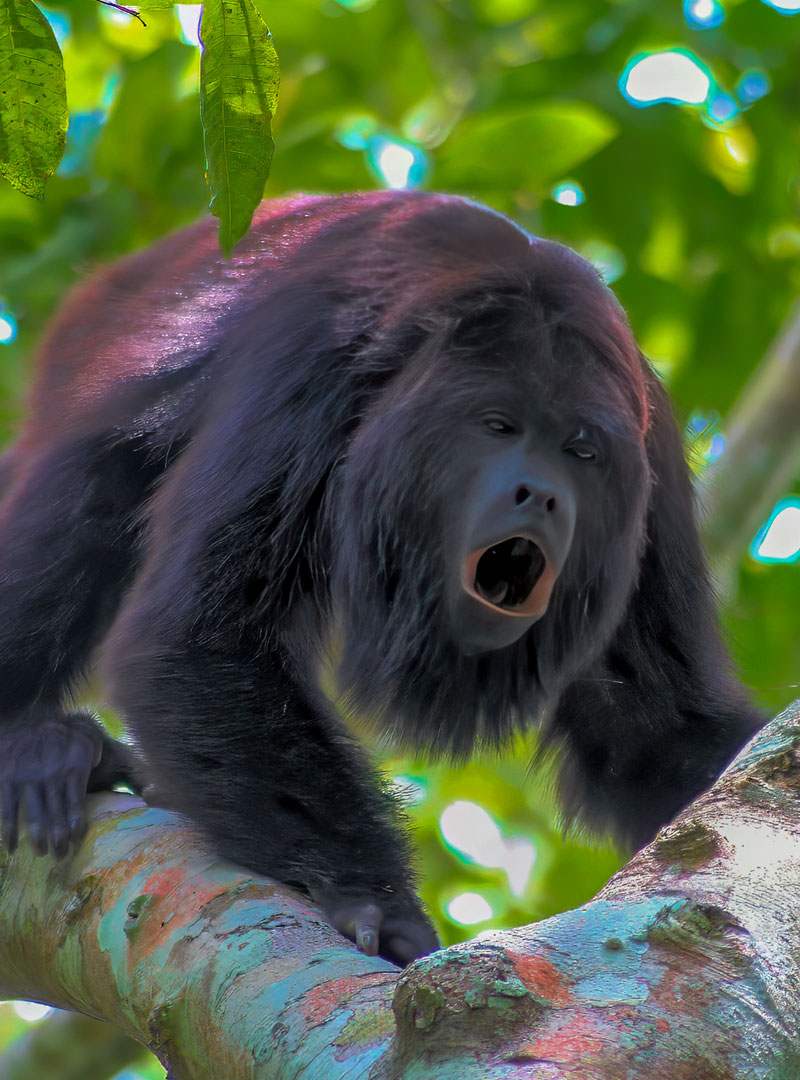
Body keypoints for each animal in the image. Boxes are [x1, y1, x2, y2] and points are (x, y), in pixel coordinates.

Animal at [0, 192, 760, 963]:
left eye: (581, 450)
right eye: (498, 425)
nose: (541, 495)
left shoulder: (651, 458)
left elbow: (651, 733)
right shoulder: (315, 365)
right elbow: (194, 633)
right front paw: (375, 898)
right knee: (89, 491)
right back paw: (39, 749)